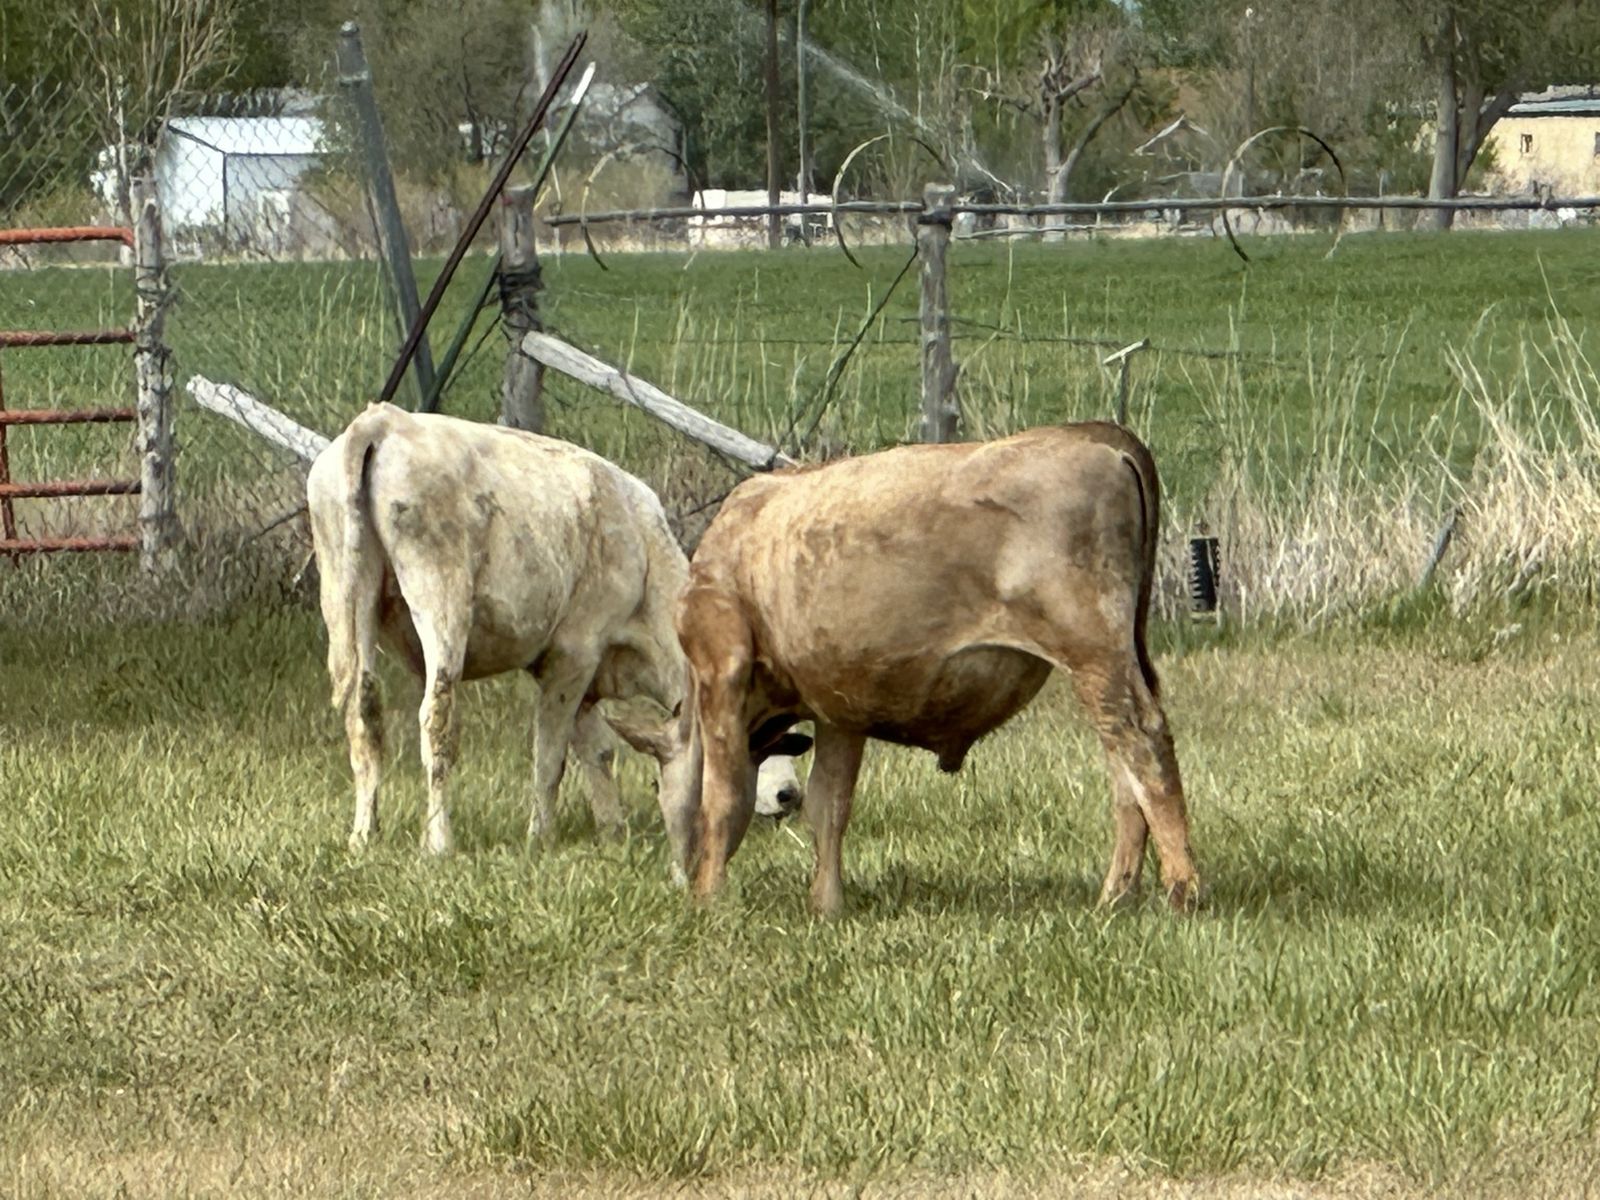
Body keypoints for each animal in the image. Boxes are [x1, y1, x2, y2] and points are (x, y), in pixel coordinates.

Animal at [306, 403, 806, 871]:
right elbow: (551, 754)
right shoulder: (573, 654)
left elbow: (598, 750)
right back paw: (438, 842)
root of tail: (386, 420)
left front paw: (613, 830)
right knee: (437, 719)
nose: (790, 795)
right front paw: (541, 836)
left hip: (347, 594)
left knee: (365, 713)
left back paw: (364, 834)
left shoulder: (590, 676)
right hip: (439, 596)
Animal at [675, 421, 1199, 916]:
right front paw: (826, 906)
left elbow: (721, 797)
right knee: (1122, 762)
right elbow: (829, 805)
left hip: (1092, 650)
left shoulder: (721, 672)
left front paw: (707, 900)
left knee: (1143, 740)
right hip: (1109, 659)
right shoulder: (838, 709)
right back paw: (1116, 895)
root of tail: (1088, 433)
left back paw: (1181, 889)